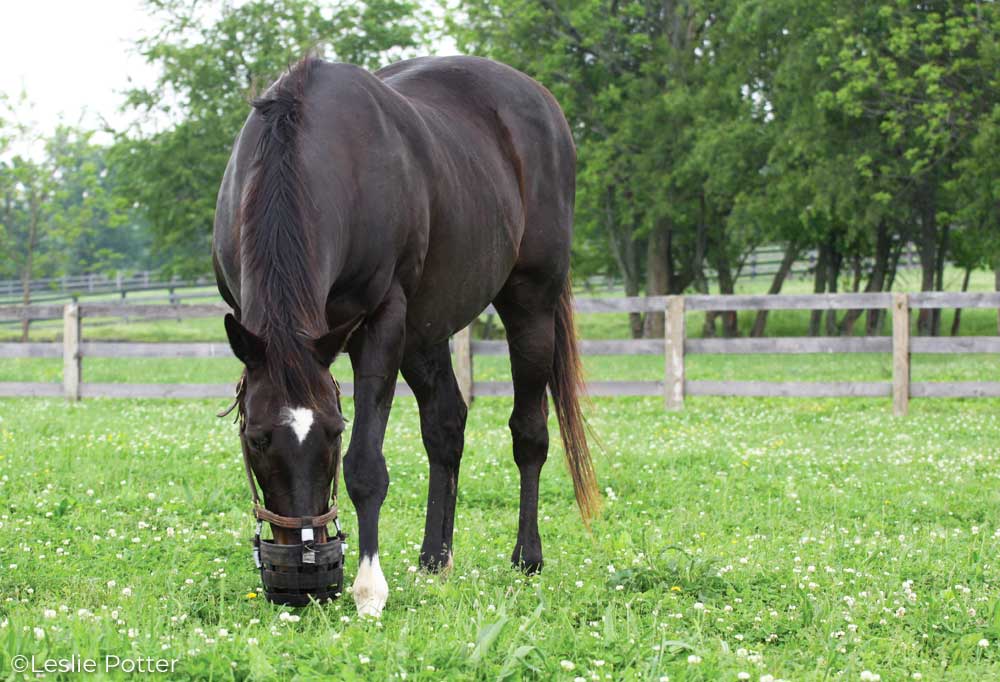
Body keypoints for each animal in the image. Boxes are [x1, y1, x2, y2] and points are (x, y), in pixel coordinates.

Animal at [212, 54, 596, 616]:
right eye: (256, 437)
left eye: (334, 432)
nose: (305, 576)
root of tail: (541, 101)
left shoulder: (382, 322)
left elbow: (366, 467)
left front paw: (369, 589)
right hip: (424, 332)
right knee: (446, 427)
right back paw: (435, 559)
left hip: (530, 304)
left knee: (529, 433)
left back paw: (527, 557)